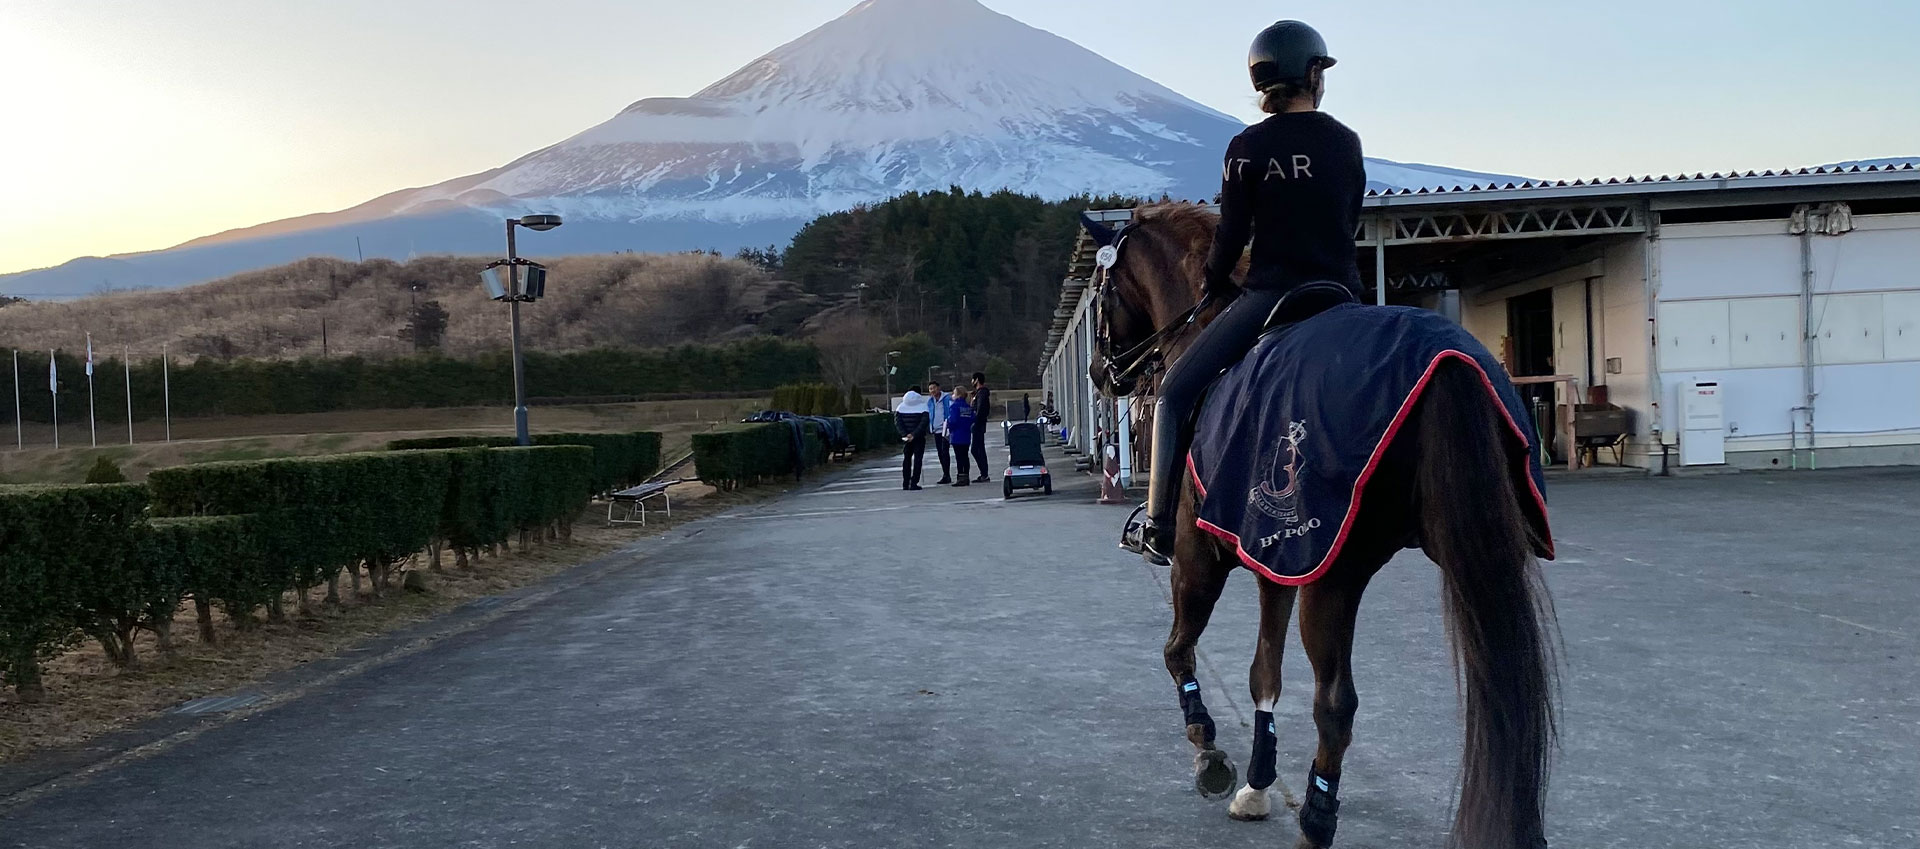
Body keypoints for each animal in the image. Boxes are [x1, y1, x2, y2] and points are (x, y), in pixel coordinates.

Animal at [1090, 205, 1551, 849]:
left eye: (1102, 294)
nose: (1098, 373)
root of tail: (1450, 363)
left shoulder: (1199, 557)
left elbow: (1178, 651)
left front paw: (1209, 751)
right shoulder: (1275, 559)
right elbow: (1264, 673)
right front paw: (1257, 782)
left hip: (1334, 574)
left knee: (1335, 703)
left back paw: (1315, 821)